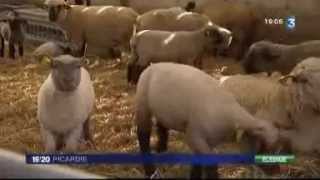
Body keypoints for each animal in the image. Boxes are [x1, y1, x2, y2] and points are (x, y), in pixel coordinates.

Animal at [134, 62, 278, 179]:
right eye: (264, 146)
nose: (276, 171)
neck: (231, 116)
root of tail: (153, 65)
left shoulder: (208, 141)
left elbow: (198, 163)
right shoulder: (194, 136)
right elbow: (211, 165)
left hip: (163, 111)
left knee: (161, 126)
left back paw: (161, 149)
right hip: (143, 104)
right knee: (143, 135)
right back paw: (150, 170)